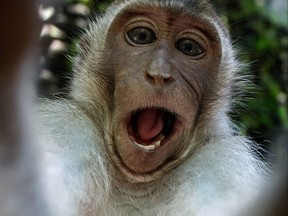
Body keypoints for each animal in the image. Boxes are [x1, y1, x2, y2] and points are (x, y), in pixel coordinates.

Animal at [36, 0, 270, 216]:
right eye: (141, 36)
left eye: (189, 47)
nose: (159, 73)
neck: (135, 183)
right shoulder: (65, 131)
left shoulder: (223, 168)